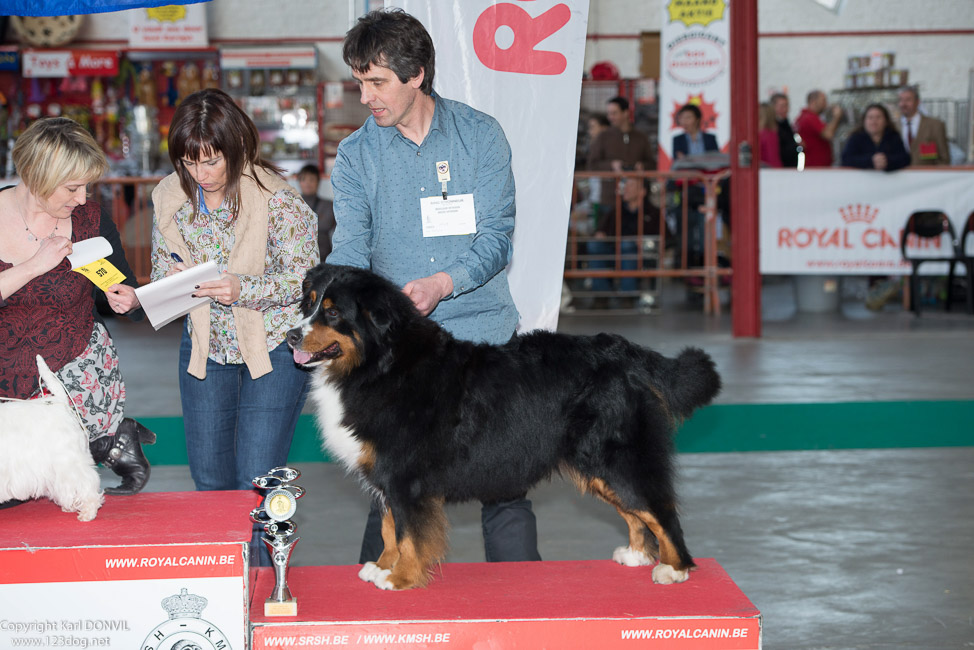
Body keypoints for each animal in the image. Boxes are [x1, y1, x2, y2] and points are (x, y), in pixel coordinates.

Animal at [286, 262, 720, 588]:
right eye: (307, 304)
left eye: (333, 312)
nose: (291, 335)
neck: (379, 364)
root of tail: (625, 352)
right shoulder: (387, 475)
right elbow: (390, 526)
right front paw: (382, 565)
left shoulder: (405, 476)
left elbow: (409, 531)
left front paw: (401, 577)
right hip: (596, 465)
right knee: (635, 512)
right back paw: (635, 555)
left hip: (617, 456)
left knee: (659, 509)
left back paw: (674, 568)